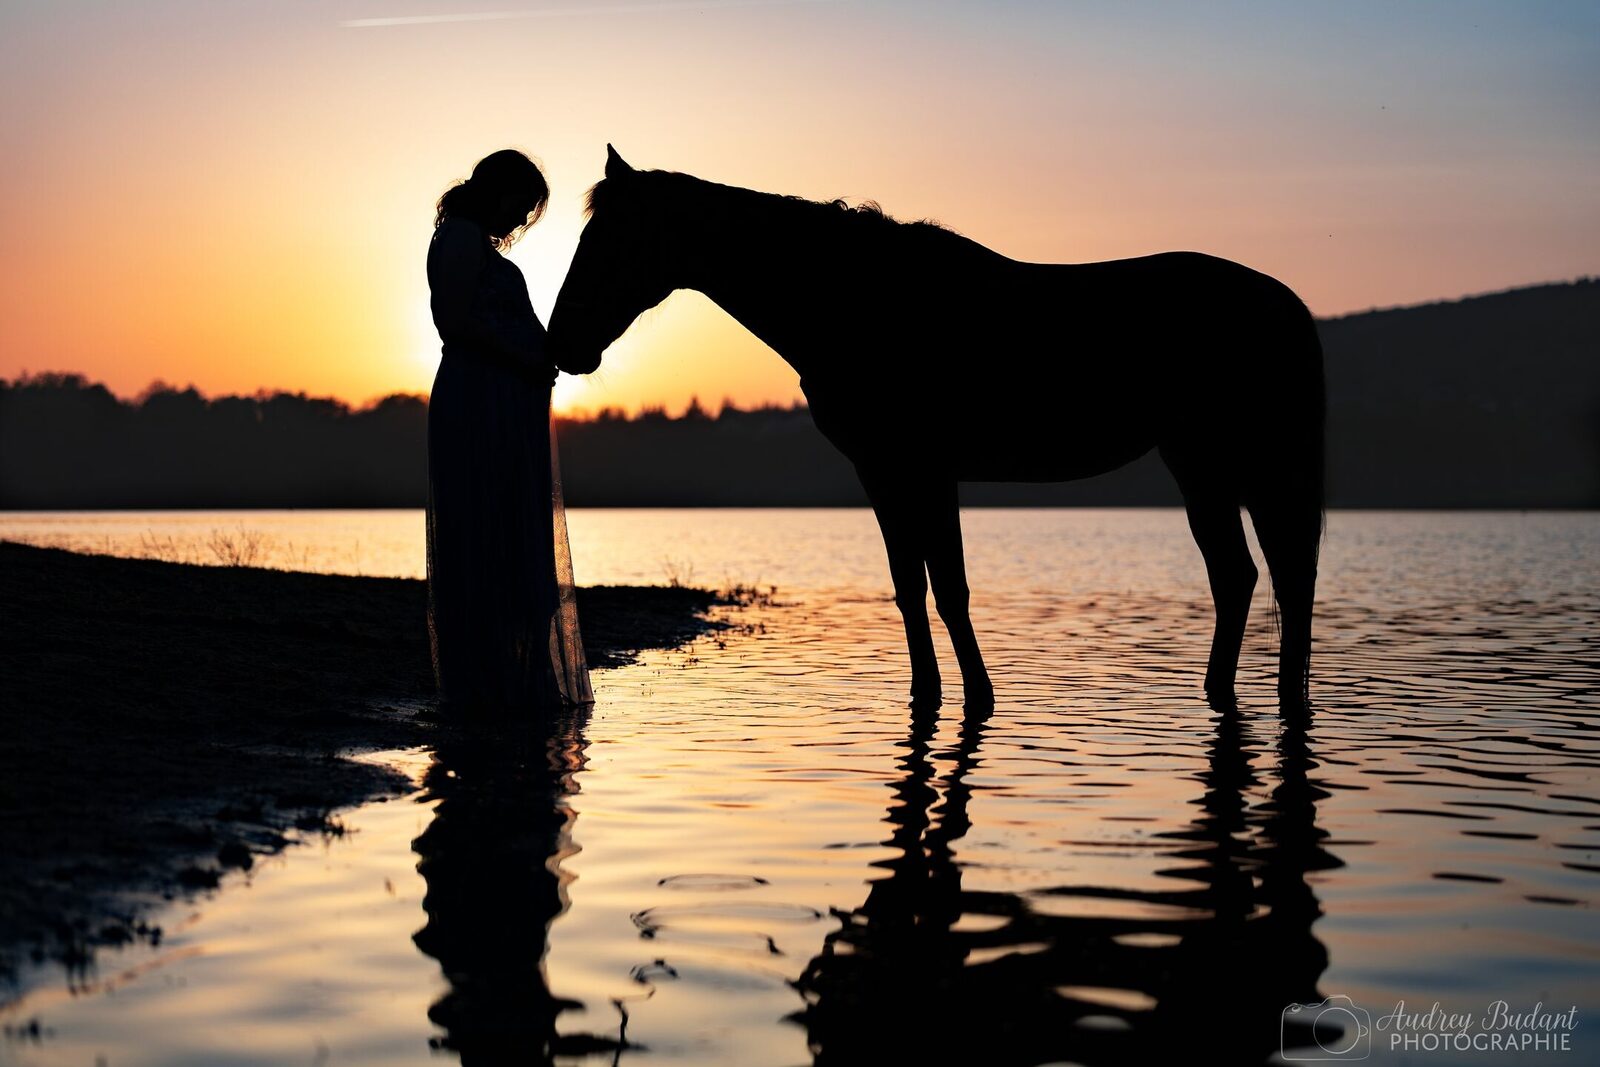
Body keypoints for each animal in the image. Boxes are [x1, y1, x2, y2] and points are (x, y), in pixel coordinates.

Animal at [547, 146, 1325, 712]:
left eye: (609, 241)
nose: (563, 344)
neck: (858, 299)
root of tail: (1283, 301)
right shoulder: (882, 472)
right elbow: (910, 586)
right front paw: (927, 696)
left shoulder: (925, 469)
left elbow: (949, 586)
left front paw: (979, 697)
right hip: (1200, 463)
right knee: (1241, 576)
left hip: (1243, 464)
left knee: (1281, 575)